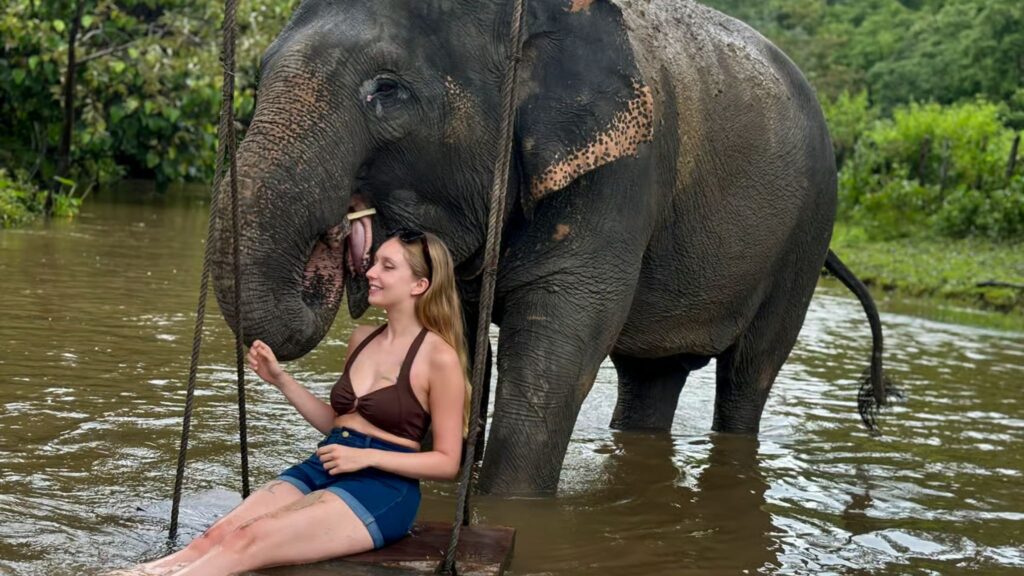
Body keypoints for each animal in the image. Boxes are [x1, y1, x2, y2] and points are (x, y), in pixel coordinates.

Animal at [211, 0, 894, 495]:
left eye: (387, 89)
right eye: (259, 74)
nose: (344, 235)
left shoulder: (623, 173)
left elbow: (562, 339)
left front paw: (509, 508)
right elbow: (460, 340)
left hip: (808, 232)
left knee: (750, 372)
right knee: (651, 377)